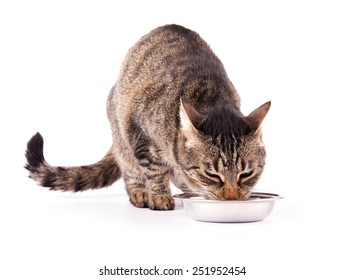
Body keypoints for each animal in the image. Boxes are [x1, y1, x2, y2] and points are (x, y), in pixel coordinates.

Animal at [25, 25, 270, 210]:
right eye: (212, 174)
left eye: (246, 174)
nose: (231, 198)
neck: (213, 98)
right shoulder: (139, 134)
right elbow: (154, 171)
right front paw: (160, 196)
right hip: (121, 134)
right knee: (131, 171)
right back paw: (140, 192)